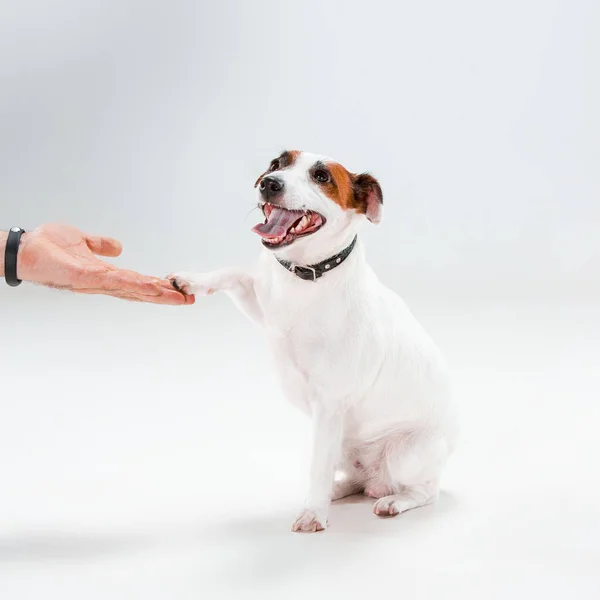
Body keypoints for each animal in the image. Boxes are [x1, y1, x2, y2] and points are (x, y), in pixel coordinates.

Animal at [169, 151, 460, 536]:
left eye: (322, 176)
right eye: (277, 163)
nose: (270, 183)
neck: (307, 276)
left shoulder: (329, 405)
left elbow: (317, 467)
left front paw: (313, 514)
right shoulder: (262, 306)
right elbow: (232, 273)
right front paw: (192, 280)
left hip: (405, 452)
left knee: (425, 491)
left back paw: (393, 501)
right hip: (344, 446)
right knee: (357, 481)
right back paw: (340, 489)